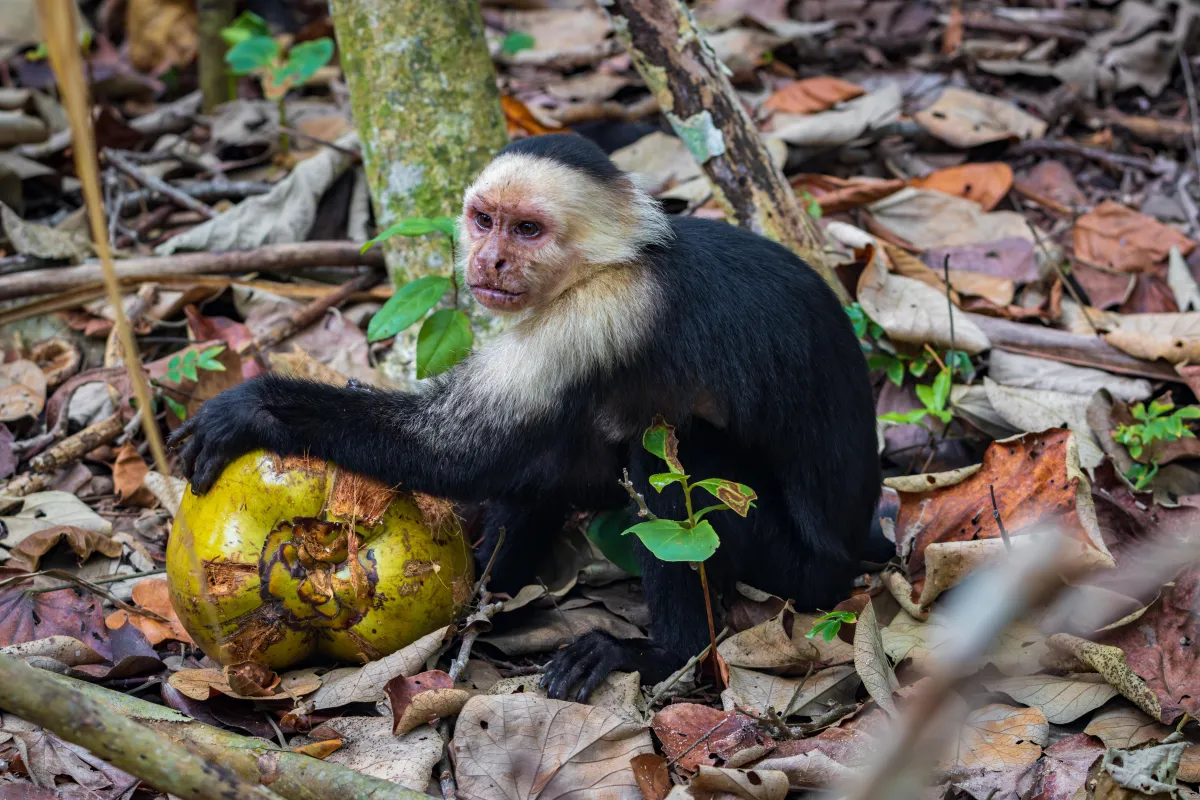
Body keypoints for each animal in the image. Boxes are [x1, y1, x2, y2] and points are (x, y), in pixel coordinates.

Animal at [171, 134, 883, 705]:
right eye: (484, 220)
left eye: (528, 231)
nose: (488, 260)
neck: (616, 260)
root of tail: (856, 553)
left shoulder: (599, 313)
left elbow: (458, 449)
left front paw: (256, 408)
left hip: (793, 567)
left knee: (670, 453)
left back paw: (666, 653)